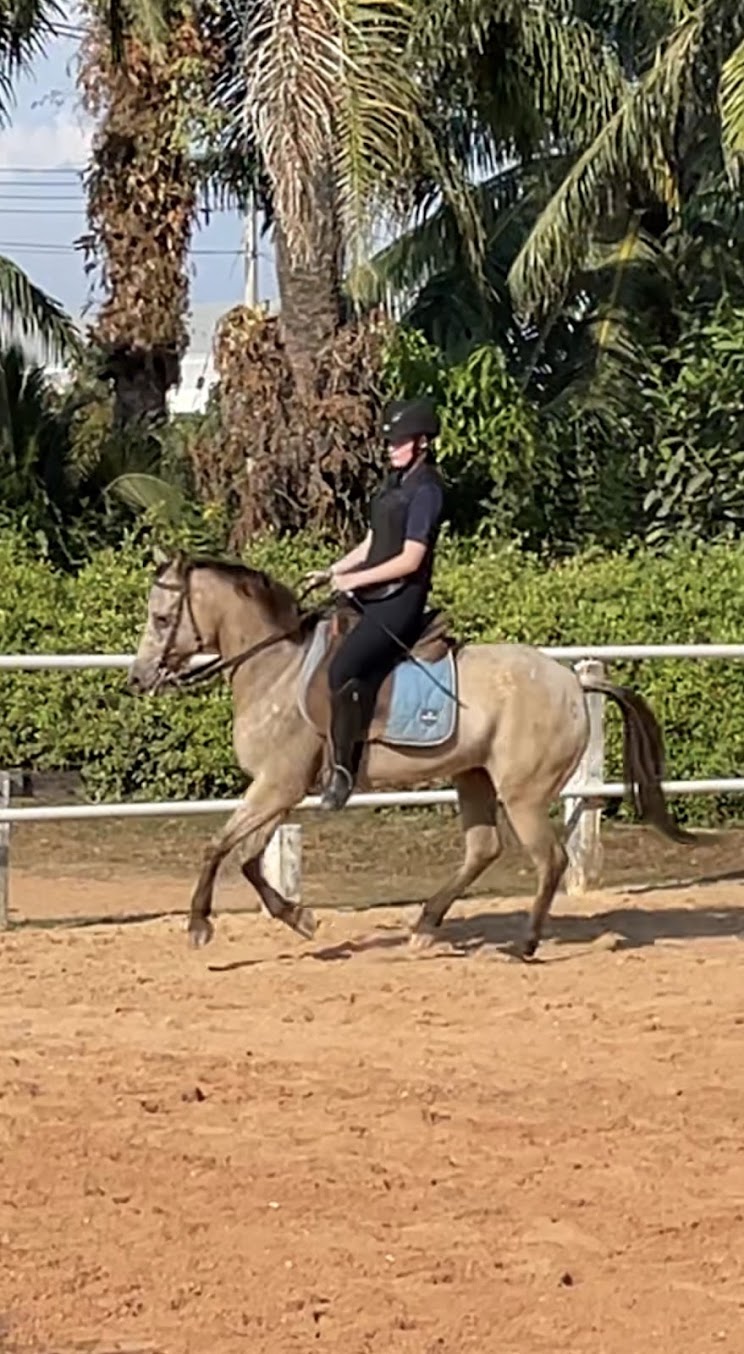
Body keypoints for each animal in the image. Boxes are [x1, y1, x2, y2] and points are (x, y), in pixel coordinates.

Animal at [127, 551, 693, 957]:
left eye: (161, 617)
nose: (138, 678)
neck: (276, 668)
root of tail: (574, 685)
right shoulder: (278, 789)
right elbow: (246, 857)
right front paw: (300, 918)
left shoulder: (277, 786)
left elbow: (218, 846)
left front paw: (199, 925)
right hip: (473, 776)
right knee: (483, 849)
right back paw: (425, 924)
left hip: (523, 793)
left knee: (549, 859)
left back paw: (525, 944)